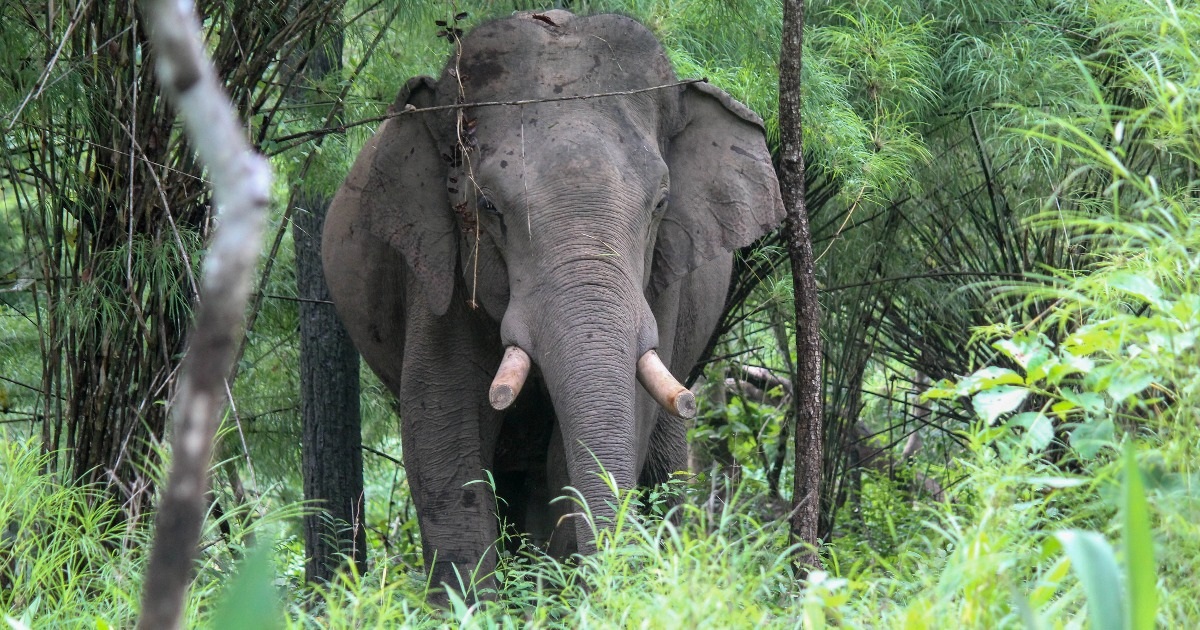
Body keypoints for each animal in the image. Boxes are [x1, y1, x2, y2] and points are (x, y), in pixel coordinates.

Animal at [324, 11, 782, 600]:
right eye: (486, 206)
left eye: (660, 202)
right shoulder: (435, 273)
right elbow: (441, 440)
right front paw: (476, 606)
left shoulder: (662, 284)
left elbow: (590, 446)